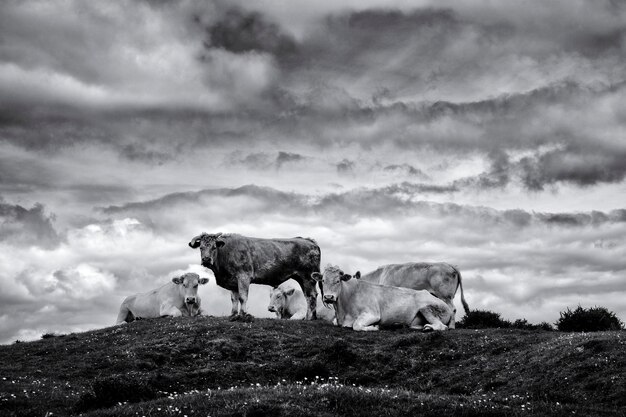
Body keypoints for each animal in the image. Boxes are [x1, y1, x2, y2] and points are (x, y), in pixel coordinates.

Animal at [188, 232, 320, 320]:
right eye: (201, 247)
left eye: (214, 247)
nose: (206, 259)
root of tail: (309, 240)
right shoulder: (233, 282)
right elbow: (234, 299)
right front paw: (233, 314)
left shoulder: (243, 277)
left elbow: (242, 297)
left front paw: (243, 314)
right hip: (302, 278)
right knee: (309, 296)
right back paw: (312, 317)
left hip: (308, 277)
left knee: (311, 296)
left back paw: (309, 318)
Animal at [310, 264, 448, 330]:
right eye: (323, 280)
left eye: (338, 281)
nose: (328, 297)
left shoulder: (372, 314)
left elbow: (357, 325)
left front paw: (374, 327)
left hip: (427, 308)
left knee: (442, 326)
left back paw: (428, 328)